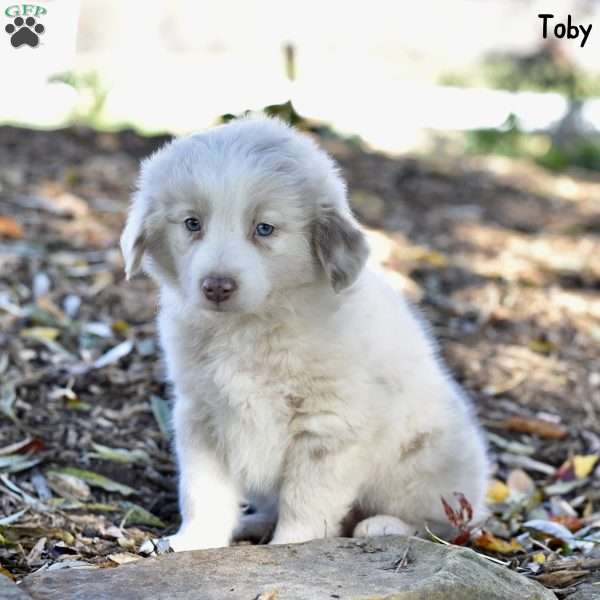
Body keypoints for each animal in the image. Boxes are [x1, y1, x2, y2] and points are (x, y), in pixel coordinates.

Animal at [120, 115, 488, 552]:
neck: (250, 325)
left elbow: (307, 503)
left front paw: (289, 550)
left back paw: (383, 526)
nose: (217, 287)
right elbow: (202, 490)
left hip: (425, 464)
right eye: (192, 223)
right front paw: (193, 541)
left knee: (441, 523)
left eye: (264, 229)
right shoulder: (203, 415)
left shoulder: (327, 427)